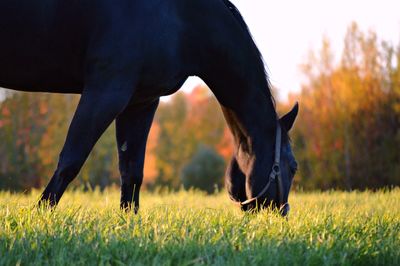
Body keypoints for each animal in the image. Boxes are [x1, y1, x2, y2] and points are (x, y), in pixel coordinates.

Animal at [0, 0, 298, 215]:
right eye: (293, 166)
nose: (282, 213)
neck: (179, 18)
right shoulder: (106, 92)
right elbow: (71, 160)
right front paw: (40, 216)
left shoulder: (140, 102)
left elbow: (131, 170)